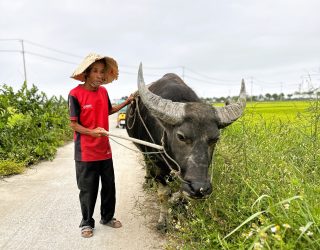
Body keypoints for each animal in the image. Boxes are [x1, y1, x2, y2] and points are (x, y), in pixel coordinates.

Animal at [126, 64, 246, 230]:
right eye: (181, 136)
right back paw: (147, 182)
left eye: (215, 138)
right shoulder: (155, 162)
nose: (199, 188)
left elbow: (181, 193)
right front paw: (163, 222)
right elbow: (164, 193)